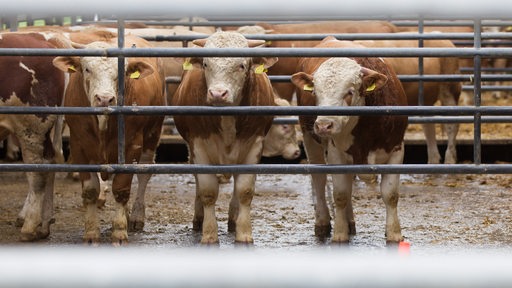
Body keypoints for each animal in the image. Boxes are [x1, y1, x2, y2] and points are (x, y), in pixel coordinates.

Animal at [52, 34, 165, 245]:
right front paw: (91, 233)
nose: (104, 99)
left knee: (143, 173)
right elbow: (90, 191)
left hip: (153, 132)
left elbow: (122, 188)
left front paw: (119, 232)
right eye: (87, 69)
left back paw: (136, 216)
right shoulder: (79, 146)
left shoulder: (131, 146)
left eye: (121, 73)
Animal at [171, 31, 276, 243]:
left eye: (241, 65)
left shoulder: (254, 145)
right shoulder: (199, 146)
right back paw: (199, 218)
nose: (218, 94)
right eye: (206, 64)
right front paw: (209, 234)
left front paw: (244, 233)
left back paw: (233, 219)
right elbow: (208, 191)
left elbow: (244, 191)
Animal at [292, 36, 408, 243]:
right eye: (315, 93)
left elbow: (390, 195)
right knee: (319, 180)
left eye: (349, 92)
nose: (323, 125)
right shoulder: (336, 154)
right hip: (309, 139)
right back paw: (323, 222)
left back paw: (350, 221)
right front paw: (339, 233)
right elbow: (340, 194)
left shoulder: (396, 149)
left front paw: (394, 233)